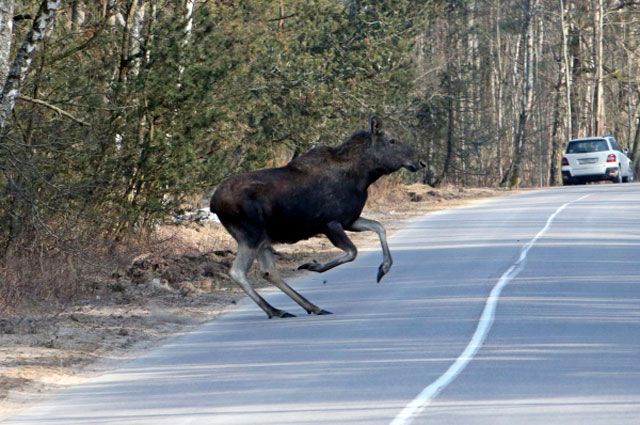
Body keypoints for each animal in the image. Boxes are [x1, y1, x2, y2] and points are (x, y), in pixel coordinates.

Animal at [210, 116, 428, 318]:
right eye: (392, 140)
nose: (421, 162)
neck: (363, 177)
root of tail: (213, 204)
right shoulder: (330, 223)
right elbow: (353, 251)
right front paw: (314, 265)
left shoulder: (349, 220)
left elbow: (379, 226)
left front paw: (384, 268)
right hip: (251, 234)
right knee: (238, 272)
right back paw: (276, 309)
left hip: (263, 237)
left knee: (269, 271)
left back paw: (306, 307)